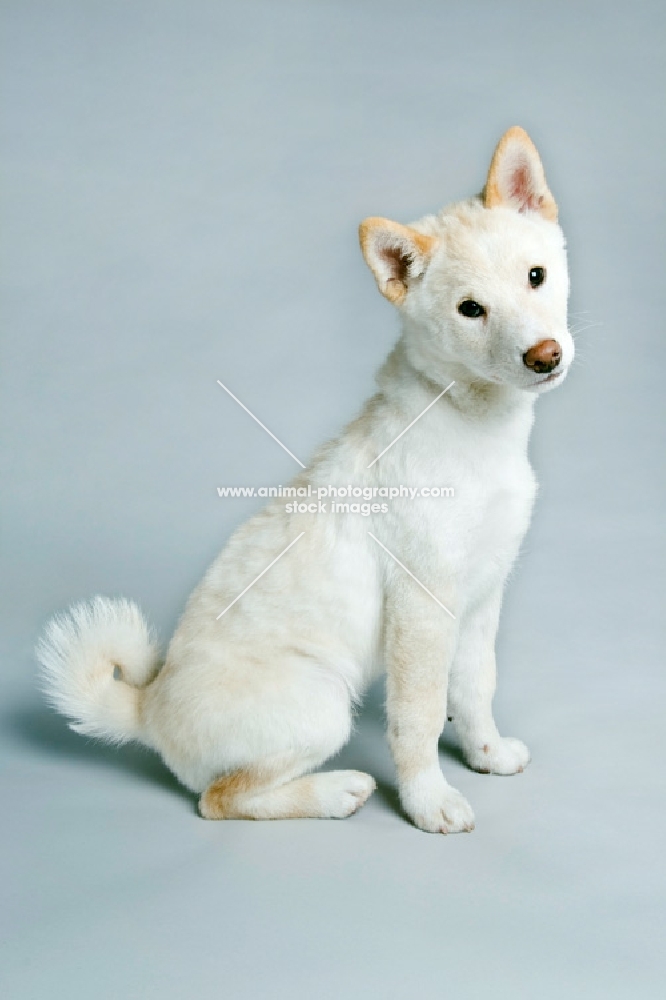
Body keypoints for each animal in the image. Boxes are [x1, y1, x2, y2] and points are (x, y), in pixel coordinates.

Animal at [39, 129, 572, 832]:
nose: (545, 357)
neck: (474, 426)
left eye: (536, 276)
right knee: (219, 799)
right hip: (323, 705)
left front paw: (485, 754)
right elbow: (421, 716)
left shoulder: (481, 599)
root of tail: (148, 710)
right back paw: (335, 791)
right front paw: (428, 799)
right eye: (470, 310)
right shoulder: (422, 607)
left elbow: (476, 686)